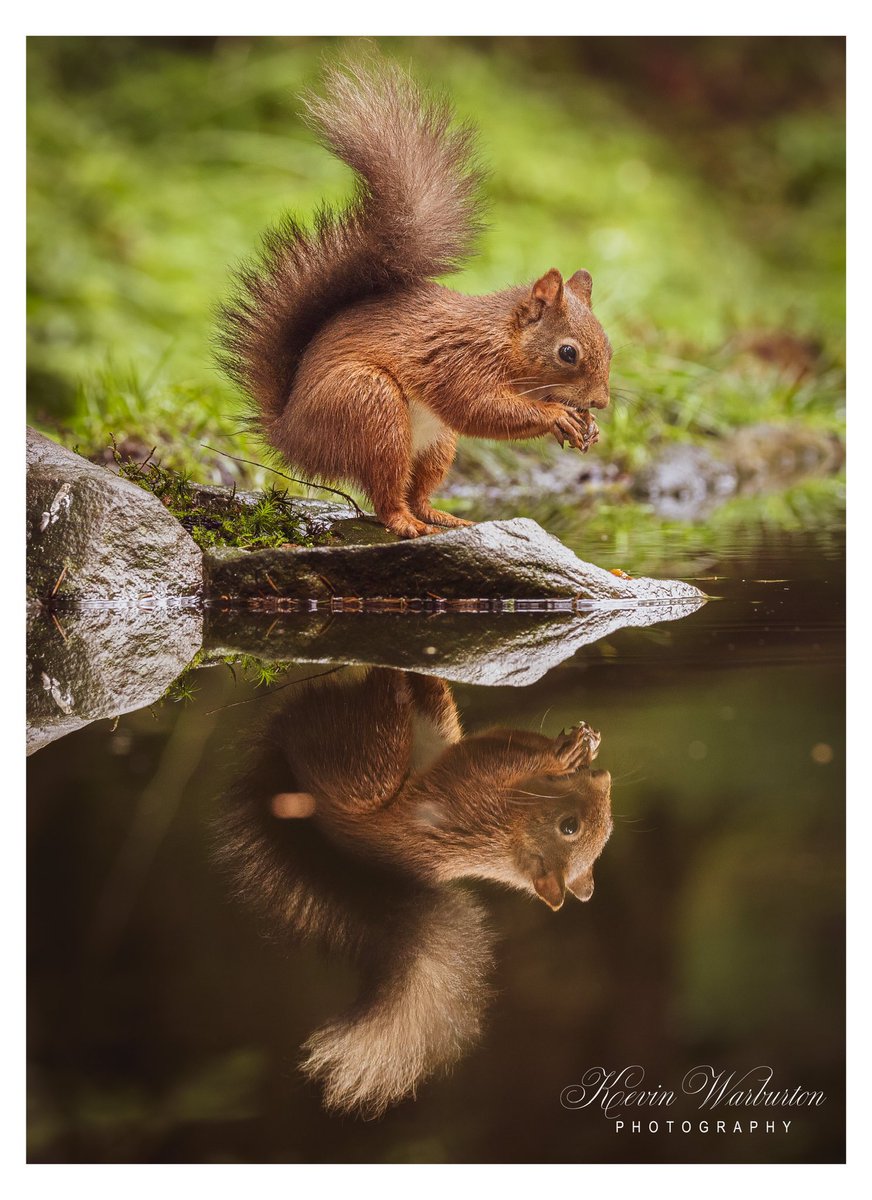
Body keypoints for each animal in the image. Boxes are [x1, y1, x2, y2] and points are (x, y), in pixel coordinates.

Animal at [213, 666, 613, 1117]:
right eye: (572, 827)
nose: (604, 778)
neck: (509, 837)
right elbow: (508, 741)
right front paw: (578, 748)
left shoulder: (480, 795)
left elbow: (503, 754)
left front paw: (566, 753)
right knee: (432, 703)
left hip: (368, 759)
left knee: (378, 708)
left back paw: (386, 677)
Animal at [219, 58, 613, 539]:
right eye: (568, 353)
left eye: (609, 346)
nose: (601, 402)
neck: (502, 339)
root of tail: (290, 435)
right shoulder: (460, 361)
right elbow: (478, 407)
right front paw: (556, 415)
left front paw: (590, 428)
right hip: (371, 407)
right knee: (387, 498)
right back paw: (408, 525)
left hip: (438, 444)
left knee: (417, 493)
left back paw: (444, 516)